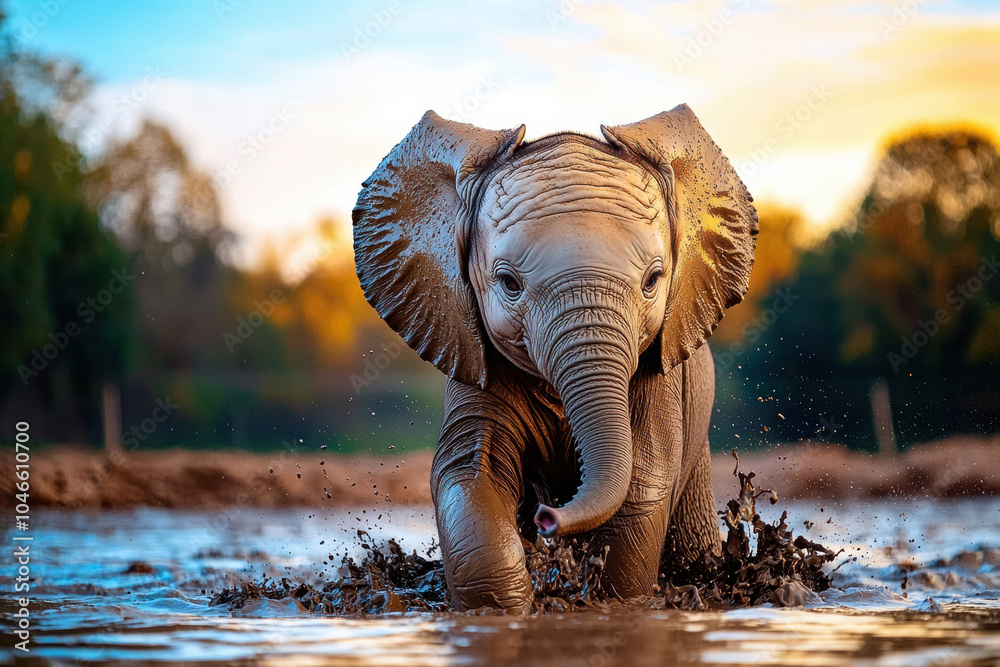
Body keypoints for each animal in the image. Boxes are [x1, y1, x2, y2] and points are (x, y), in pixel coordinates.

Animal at [353, 104, 758, 613]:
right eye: (509, 283)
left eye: (653, 280)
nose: (549, 515)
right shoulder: (472, 352)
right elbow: (471, 474)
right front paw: (505, 609)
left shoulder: (659, 364)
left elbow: (644, 483)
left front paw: (602, 604)